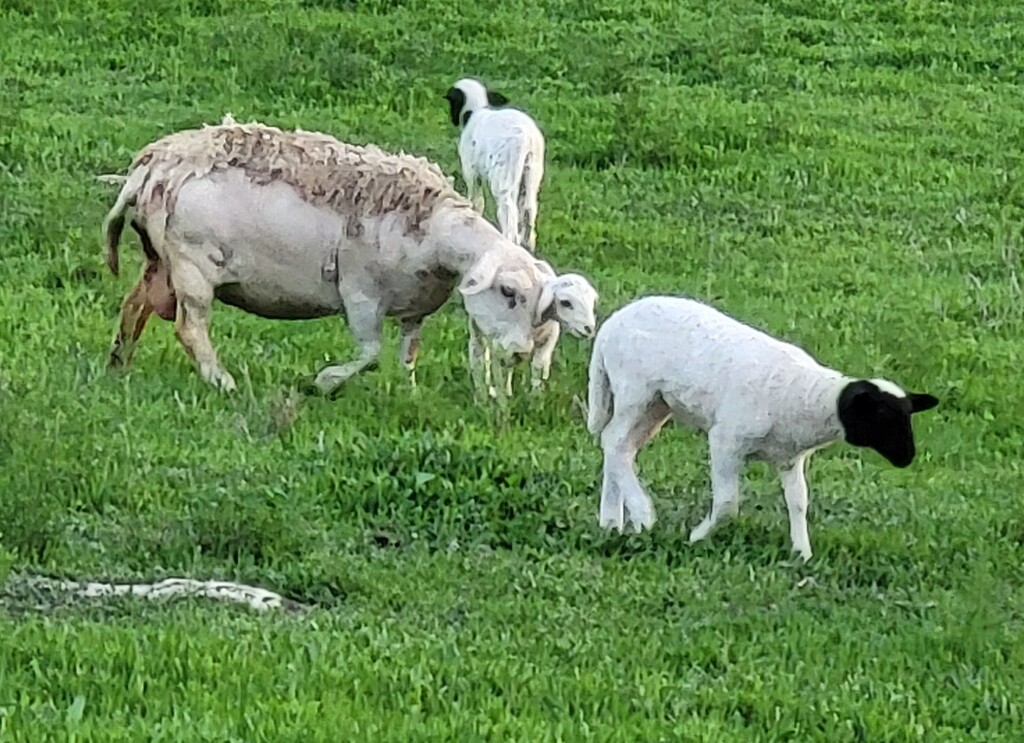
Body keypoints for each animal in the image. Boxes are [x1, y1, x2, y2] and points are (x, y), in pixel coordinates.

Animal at [99, 118, 552, 396]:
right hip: (192, 265)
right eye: (508, 292)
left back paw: (119, 365)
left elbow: (407, 355)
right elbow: (370, 354)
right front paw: (325, 381)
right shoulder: (361, 293)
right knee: (190, 328)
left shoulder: (415, 306)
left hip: (160, 260)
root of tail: (151, 167)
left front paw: (408, 392)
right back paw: (221, 381)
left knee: (134, 306)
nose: (521, 353)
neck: (434, 230)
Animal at [443, 77, 545, 251]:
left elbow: (476, 201)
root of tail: (527, 138)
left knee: (510, 216)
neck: (477, 111)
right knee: (529, 213)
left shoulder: (470, 170)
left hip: (504, 177)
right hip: (532, 174)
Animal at [469, 259, 599, 398]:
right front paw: (503, 399)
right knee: (478, 357)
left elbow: (538, 367)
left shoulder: (547, 341)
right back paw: (481, 394)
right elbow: (501, 374)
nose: (589, 329)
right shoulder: (504, 347)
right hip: (477, 328)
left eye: (592, 302)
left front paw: (536, 396)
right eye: (566, 302)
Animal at [586, 295, 939, 561]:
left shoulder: (790, 459)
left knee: (621, 447)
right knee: (614, 441)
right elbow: (727, 503)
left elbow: (799, 502)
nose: (907, 457)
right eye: (882, 416)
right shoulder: (726, 440)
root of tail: (610, 325)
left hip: (658, 404)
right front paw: (698, 536)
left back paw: (612, 521)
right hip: (636, 390)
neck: (808, 398)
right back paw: (642, 513)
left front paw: (802, 552)